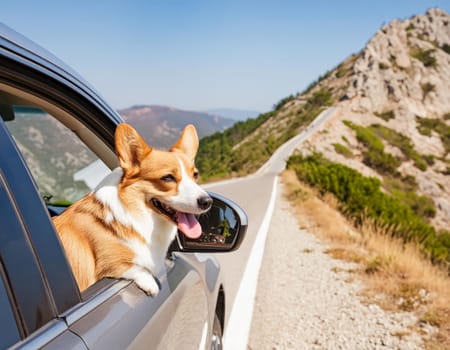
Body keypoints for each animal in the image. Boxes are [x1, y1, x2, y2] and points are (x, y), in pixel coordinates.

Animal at [53, 123, 213, 296]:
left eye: (195, 175)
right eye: (168, 178)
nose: (207, 202)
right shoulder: (109, 263)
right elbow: (135, 266)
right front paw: (150, 283)